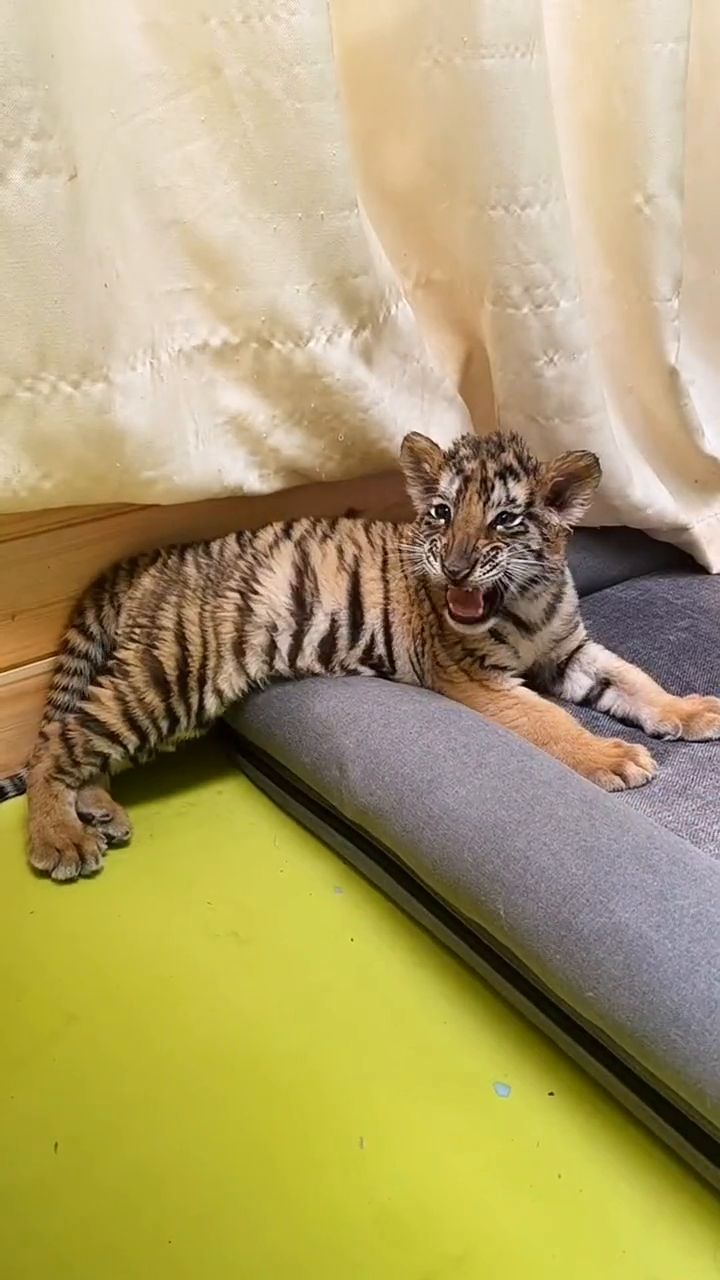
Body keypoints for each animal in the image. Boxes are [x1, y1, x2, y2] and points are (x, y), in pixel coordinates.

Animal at [3, 429, 720, 883]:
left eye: (505, 520)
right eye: (441, 512)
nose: (455, 568)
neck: (524, 601)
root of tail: (149, 559)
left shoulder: (569, 651)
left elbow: (634, 678)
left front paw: (692, 712)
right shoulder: (477, 679)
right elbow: (552, 722)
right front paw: (613, 758)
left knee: (80, 743)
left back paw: (99, 811)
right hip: (174, 675)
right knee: (52, 745)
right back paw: (60, 839)